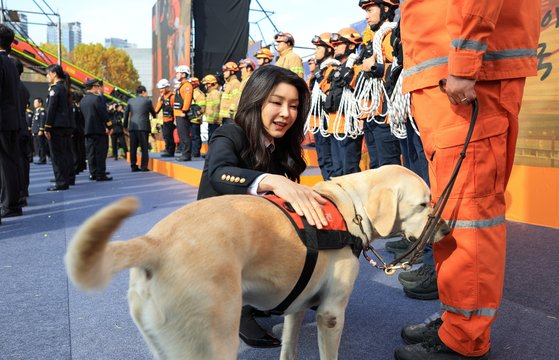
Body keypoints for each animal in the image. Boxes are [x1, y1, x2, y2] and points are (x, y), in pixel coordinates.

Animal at [65, 166, 450, 360]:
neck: (347, 207)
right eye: (423, 204)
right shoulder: (330, 314)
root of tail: (154, 243)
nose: (447, 227)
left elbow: (289, 347)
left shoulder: (298, 306)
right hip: (212, 345)